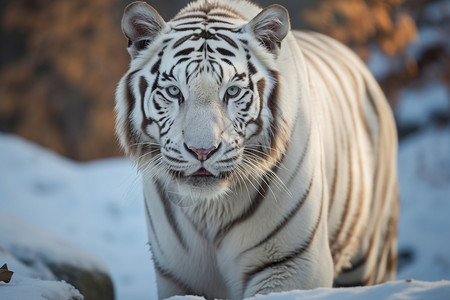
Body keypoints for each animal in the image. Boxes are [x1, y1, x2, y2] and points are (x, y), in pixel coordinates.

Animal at [114, 0, 400, 298]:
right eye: (173, 91)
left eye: (232, 92)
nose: (202, 151)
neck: (210, 209)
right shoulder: (178, 276)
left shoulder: (291, 264)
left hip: (371, 251)